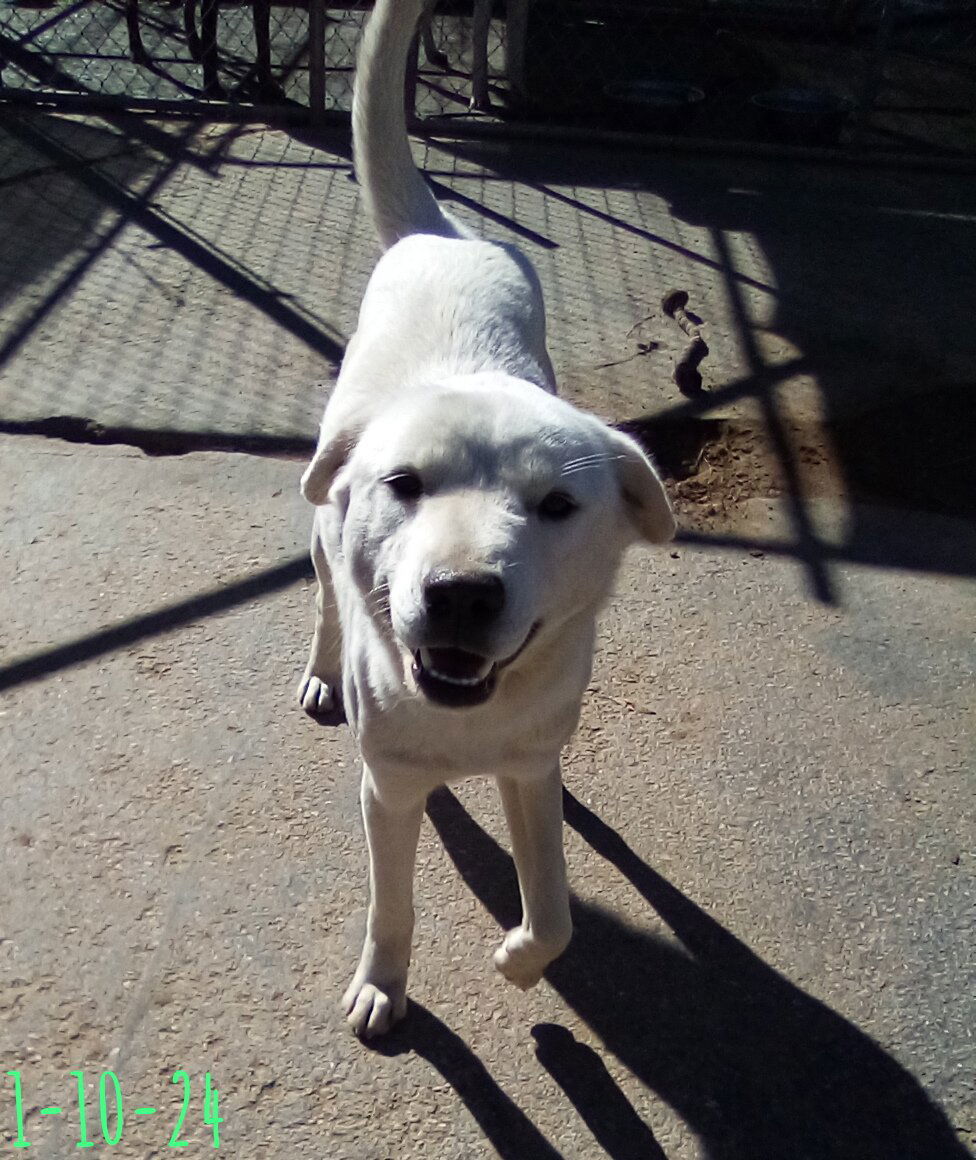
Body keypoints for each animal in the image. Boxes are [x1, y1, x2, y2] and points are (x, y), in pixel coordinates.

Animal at [301, 0, 673, 1039]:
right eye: (404, 484)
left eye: (556, 505)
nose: (461, 596)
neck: (470, 717)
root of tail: (439, 231)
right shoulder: (387, 790)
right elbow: (393, 902)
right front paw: (384, 985)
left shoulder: (530, 770)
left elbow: (554, 910)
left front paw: (519, 960)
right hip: (319, 516)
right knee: (325, 591)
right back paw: (323, 667)